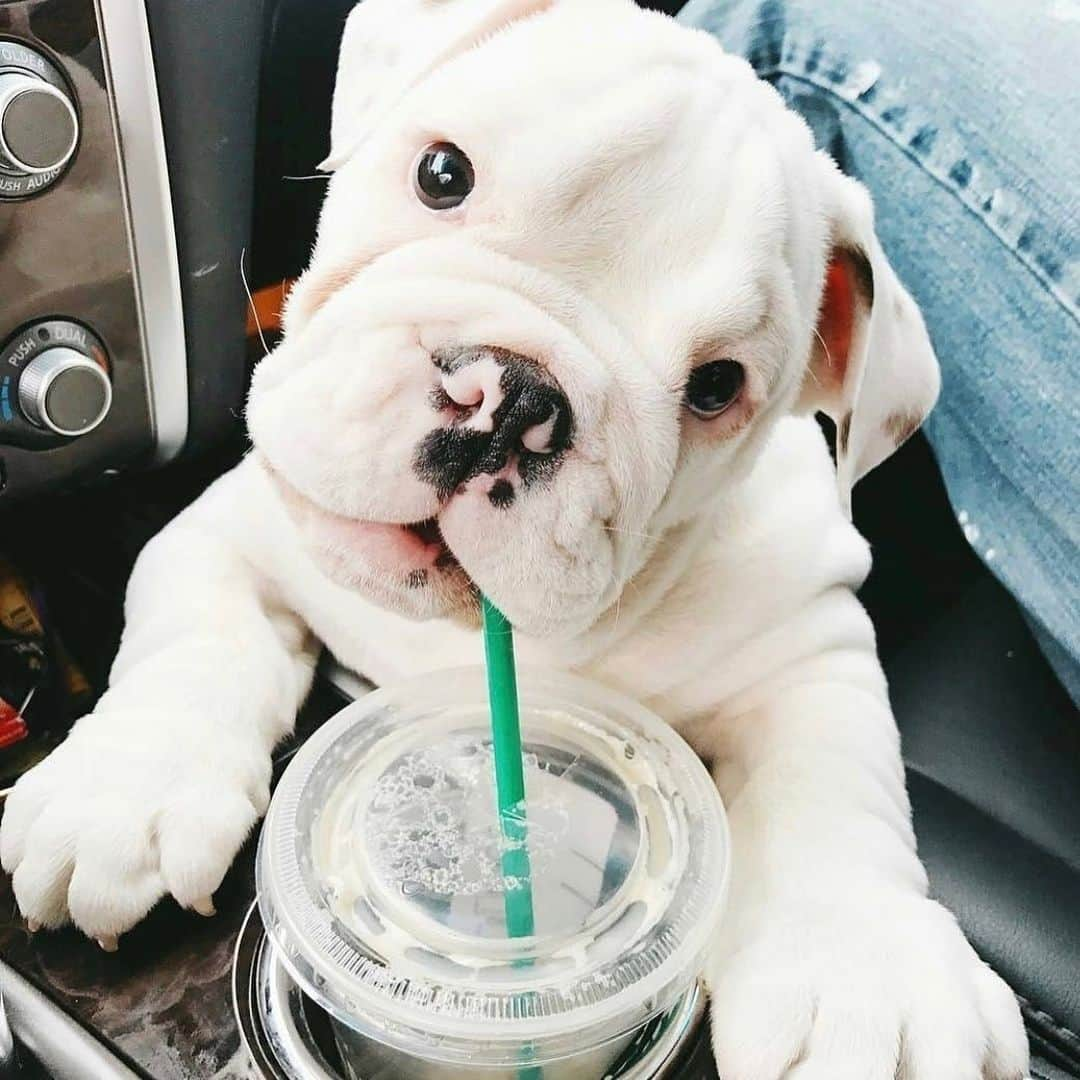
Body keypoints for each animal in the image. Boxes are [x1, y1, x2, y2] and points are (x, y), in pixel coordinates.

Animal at [0, 0, 1028, 1075]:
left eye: (717, 388)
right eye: (441, 173)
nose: (515, 400)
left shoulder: (806, 644)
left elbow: (836, 785)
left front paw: (866, 977)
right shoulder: (236, 524)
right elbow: (193, 639)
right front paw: (124, 792)